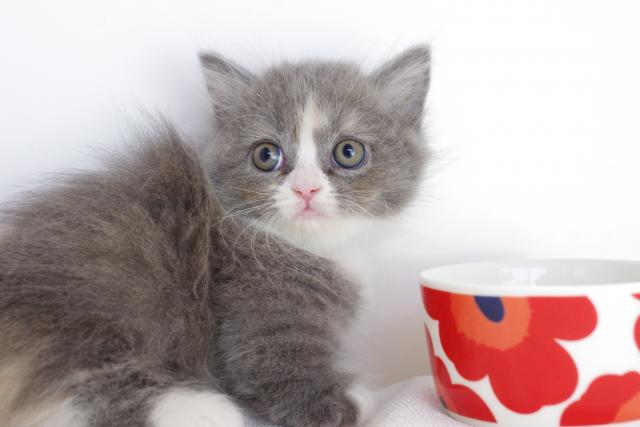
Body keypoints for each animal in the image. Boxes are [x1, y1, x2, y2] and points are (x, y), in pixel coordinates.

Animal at [0, 45, 430, 427]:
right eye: (266, 155)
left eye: (348, 152)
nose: (305, 189)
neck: (311, 248)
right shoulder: (256, 314)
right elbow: (274, 373)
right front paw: (344, 399)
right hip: (98, 292)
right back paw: (197, 409)